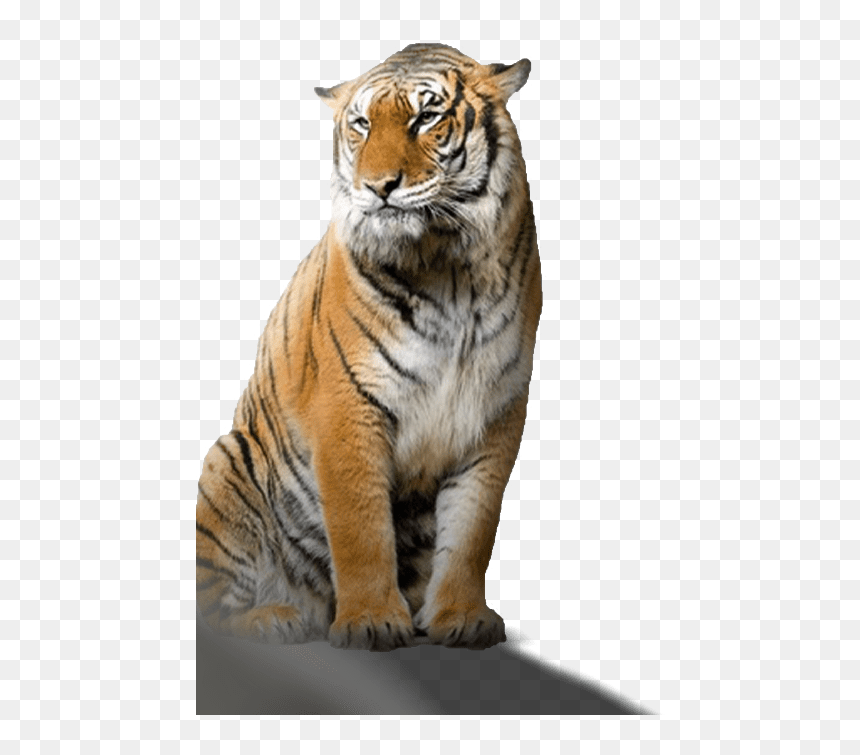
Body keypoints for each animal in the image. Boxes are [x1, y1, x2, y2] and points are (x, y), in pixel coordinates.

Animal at [196, 42, 542, 651]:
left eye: (426, 116)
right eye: (360, 124)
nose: (379, 186)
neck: (449, 269)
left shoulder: (496, 411)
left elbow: (473, 528)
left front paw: (461, 617)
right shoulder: (349, 407)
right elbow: (361, 526)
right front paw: (372, 620)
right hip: (226, 460)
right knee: (213, 611)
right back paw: (273, 618)